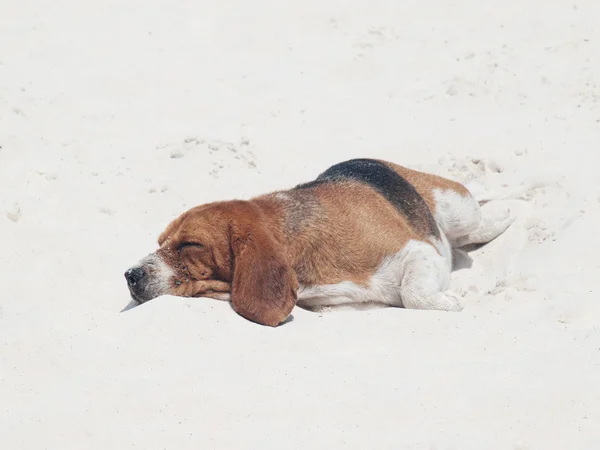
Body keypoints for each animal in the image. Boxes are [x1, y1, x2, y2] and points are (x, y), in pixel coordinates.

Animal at [124, 158, 512, 326]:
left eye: (189, 245)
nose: (130, 275)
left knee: (477, 225)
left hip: (458, 208)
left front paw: (447, 303)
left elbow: (415, 293)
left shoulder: (418, 249)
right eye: (160, 242)